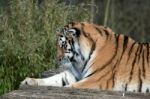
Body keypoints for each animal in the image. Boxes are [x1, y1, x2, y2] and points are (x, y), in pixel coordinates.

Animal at [20, 21, 150, 93]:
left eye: (63, 45)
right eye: (57, 45)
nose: (57, 59)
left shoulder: (95, 79)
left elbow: (69, 87)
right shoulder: (74, 74)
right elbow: (55, 78)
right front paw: (29, 81)